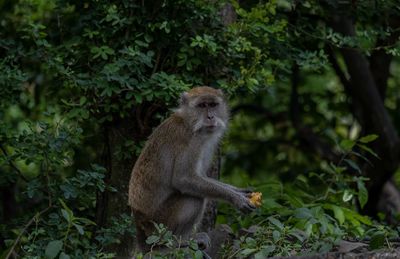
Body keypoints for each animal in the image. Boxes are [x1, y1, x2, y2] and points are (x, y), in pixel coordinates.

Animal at [129, 86, 256, 255]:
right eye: (202, 106)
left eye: (213, 104)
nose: (210, 117)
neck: (189, 122)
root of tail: (139, 224)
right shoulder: (190, 141)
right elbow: (184, 179)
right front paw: (235, 198)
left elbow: (200, 176)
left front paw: (238, 191)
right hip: (158, 226)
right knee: (193, 197)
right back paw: (173, 244)